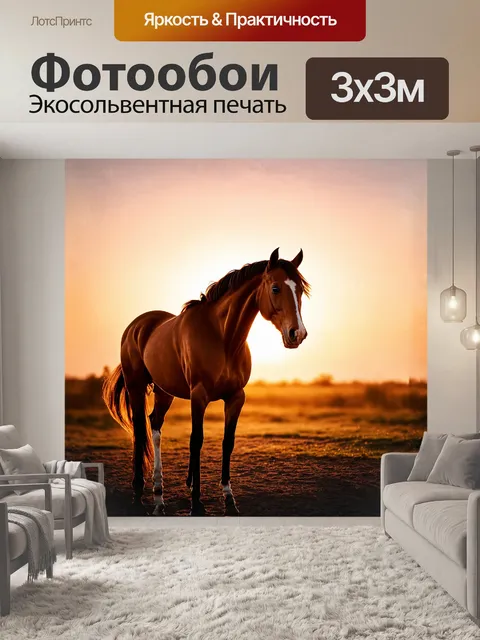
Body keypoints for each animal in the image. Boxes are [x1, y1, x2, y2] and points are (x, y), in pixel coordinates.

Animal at [102, 248, 310, 516]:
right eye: (275, 288)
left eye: (301, 290)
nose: (297, 334)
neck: (223, 338)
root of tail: (136, 326)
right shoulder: (199, 396)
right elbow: (196, 441)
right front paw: (196, 502)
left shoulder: (236, 397)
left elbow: (227, 442)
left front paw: (229, 498)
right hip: (135, 387)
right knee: (139, 431)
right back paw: (139, 497)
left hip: (164, 392)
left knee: (154, 424)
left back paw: (159, 496)